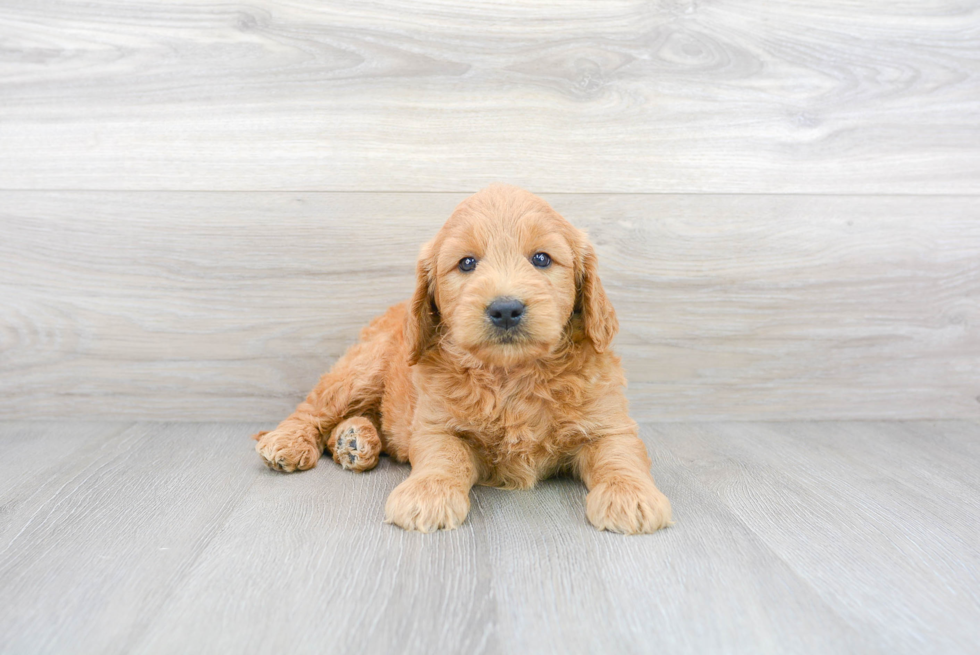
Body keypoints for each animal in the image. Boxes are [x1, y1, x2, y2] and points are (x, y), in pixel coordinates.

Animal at [251, 183, 672, 532]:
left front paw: (630, 496)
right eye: (467, 263)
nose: (506, 309)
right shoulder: (437, 425)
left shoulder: (610, 424)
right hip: (361, 368)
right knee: (315, 407)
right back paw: (290, 441)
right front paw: (428, 494)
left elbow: (620, 456)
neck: (511, 374)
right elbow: (444, 455)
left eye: (541, 259)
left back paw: (354, 440)